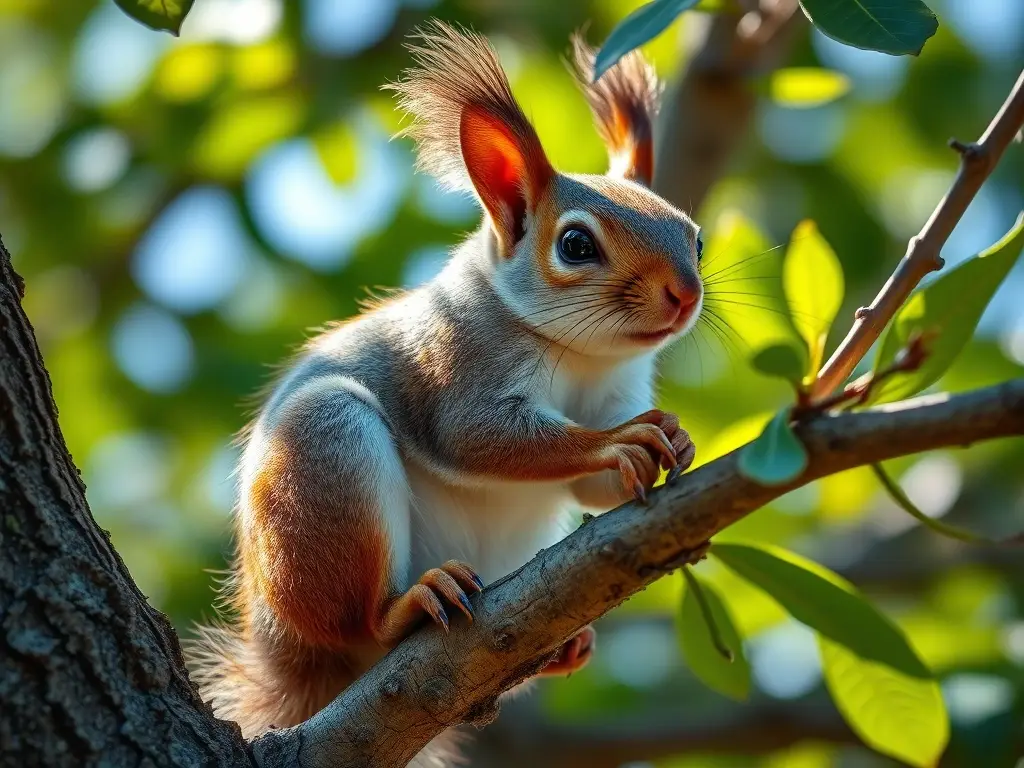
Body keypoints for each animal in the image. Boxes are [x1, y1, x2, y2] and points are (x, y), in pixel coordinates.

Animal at [191, 20, 703, 766]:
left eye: (695, 235)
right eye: (577, 245)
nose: (686, 293)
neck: (585, 357)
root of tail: (293, 666)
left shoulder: (622, 384)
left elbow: (595, 491)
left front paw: (670, 438)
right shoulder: (458, 363)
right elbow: (481, 437)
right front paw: (617, 442)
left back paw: (560, 646)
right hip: (324, 456)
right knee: (358, 622)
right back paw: (408, 606)